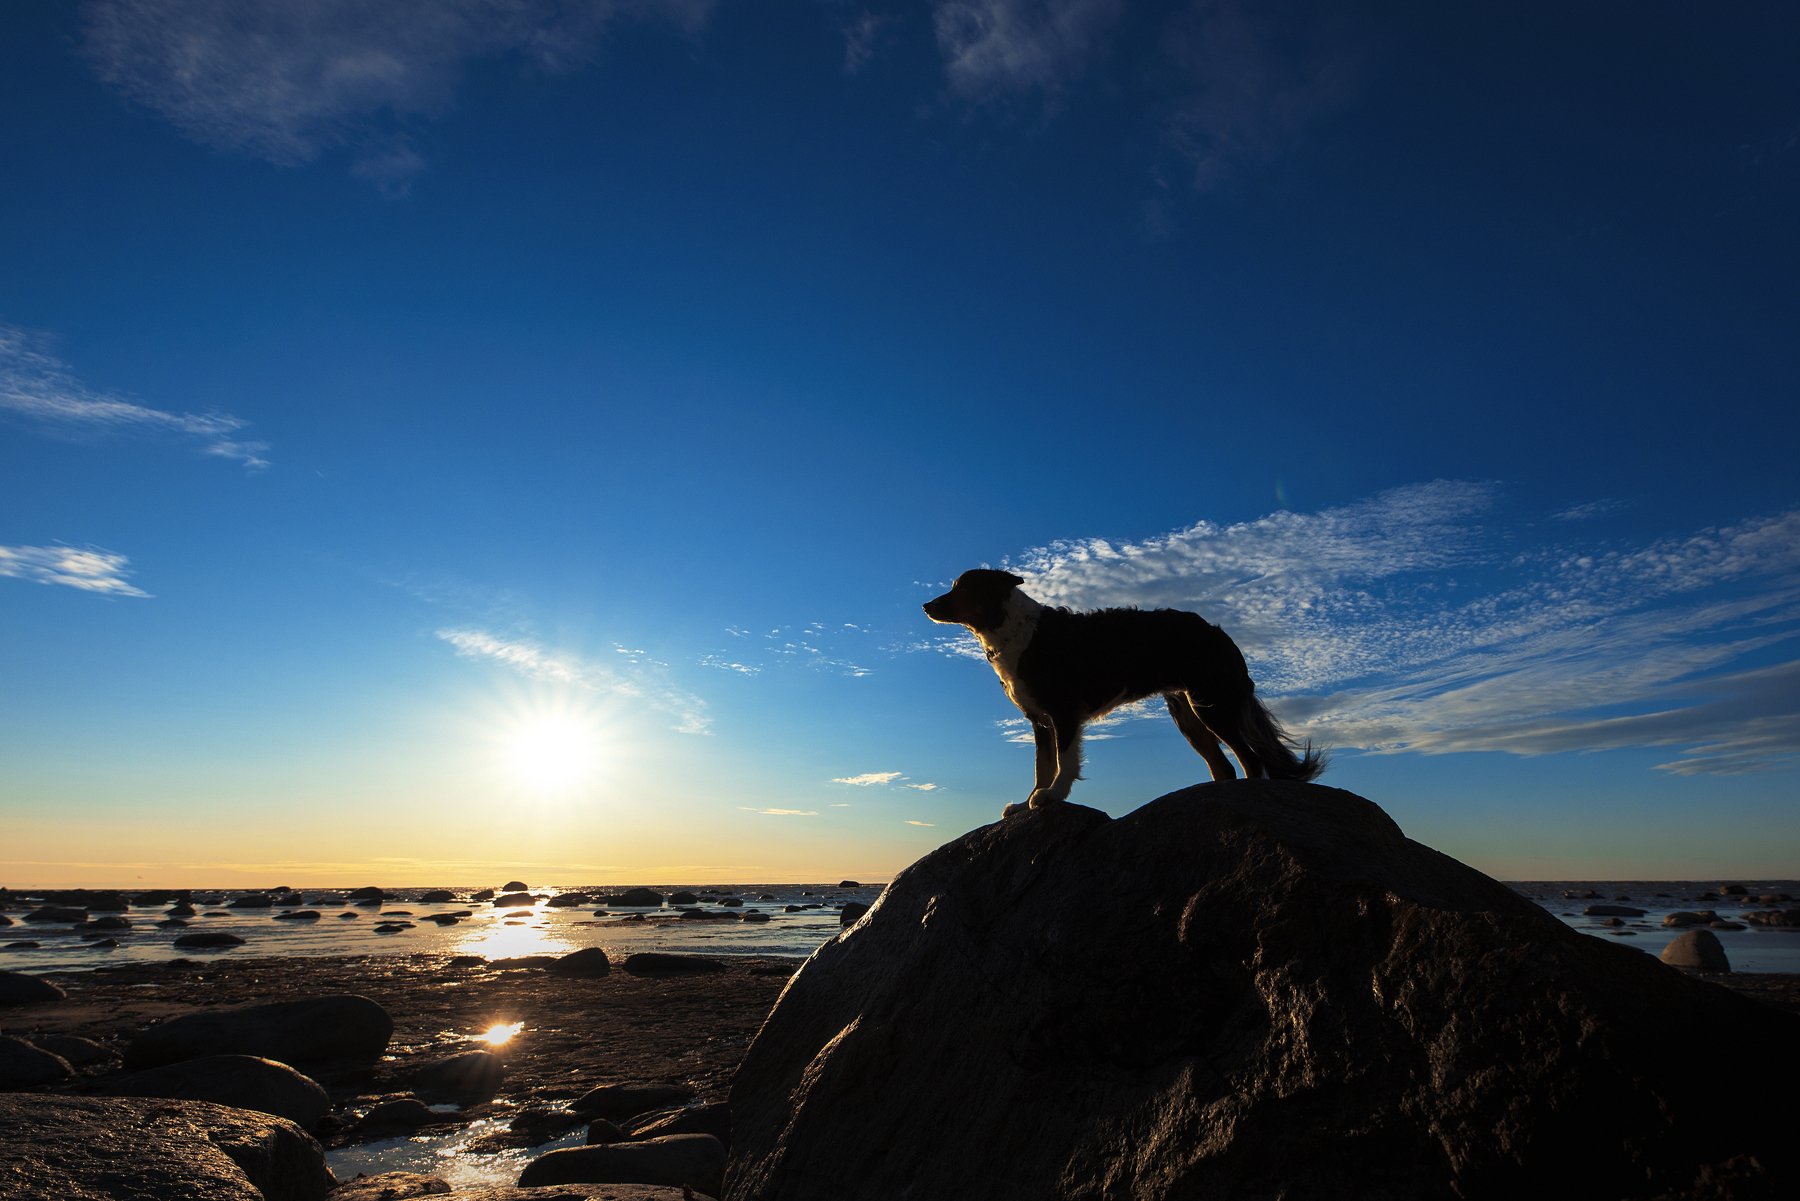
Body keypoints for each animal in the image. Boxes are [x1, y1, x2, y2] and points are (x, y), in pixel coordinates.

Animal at [928, 572, 1324, 817]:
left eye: (960, 588)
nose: (925, 606)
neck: (1008, 627)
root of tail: (1222, 636)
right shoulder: (1039, 720)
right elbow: (1042, 765)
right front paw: (1027, 804)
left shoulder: (1063, 711)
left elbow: (1063, 762)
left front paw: (1053, 796)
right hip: (1187, 714)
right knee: (1223, 765)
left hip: (1213, 704)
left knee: (1249, 758)